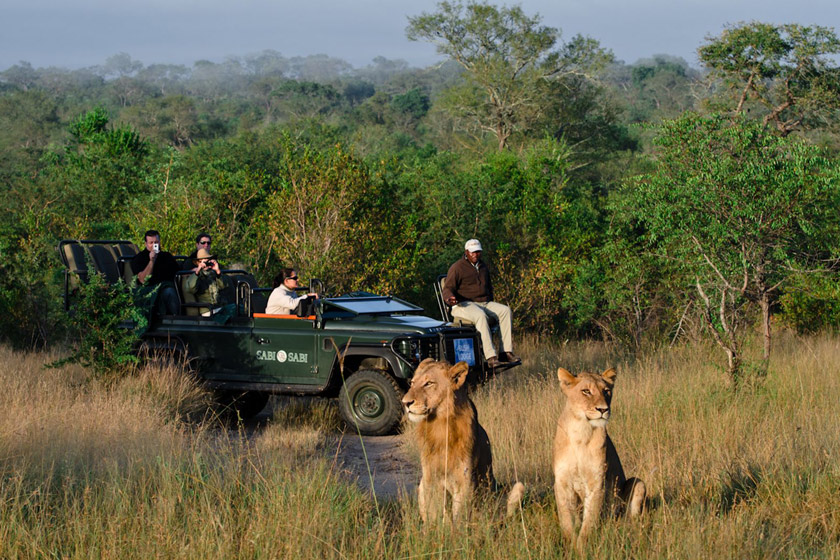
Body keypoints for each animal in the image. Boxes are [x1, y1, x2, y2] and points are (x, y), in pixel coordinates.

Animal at [402, 358, 524, 520]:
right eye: (412, 383)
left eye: (429, 383)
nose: (405, 403)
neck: (440, 424)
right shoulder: (430, 478)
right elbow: (434, 515)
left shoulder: (464, 480)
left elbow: (459, 517)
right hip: (422, 484)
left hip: (511, 489)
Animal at [556, 366, 648, 548]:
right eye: (586, 391)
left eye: (606, 391)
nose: (603, 409)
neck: (581, 431)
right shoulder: (562, 482)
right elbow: (567, 520)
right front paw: (571, 546)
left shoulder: (596, 482)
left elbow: (589, 521)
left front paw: (581, 547)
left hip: (638, 482)